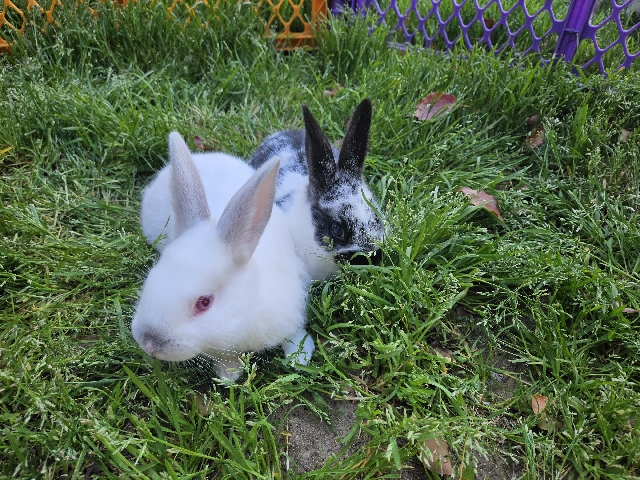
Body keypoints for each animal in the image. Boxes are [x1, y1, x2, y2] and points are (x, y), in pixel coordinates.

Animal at [132, 132, 315, 382]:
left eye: (204, 302)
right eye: (151, 279)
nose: (149, 343)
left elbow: (295, 333)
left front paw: (300, 357)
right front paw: (228, 375)